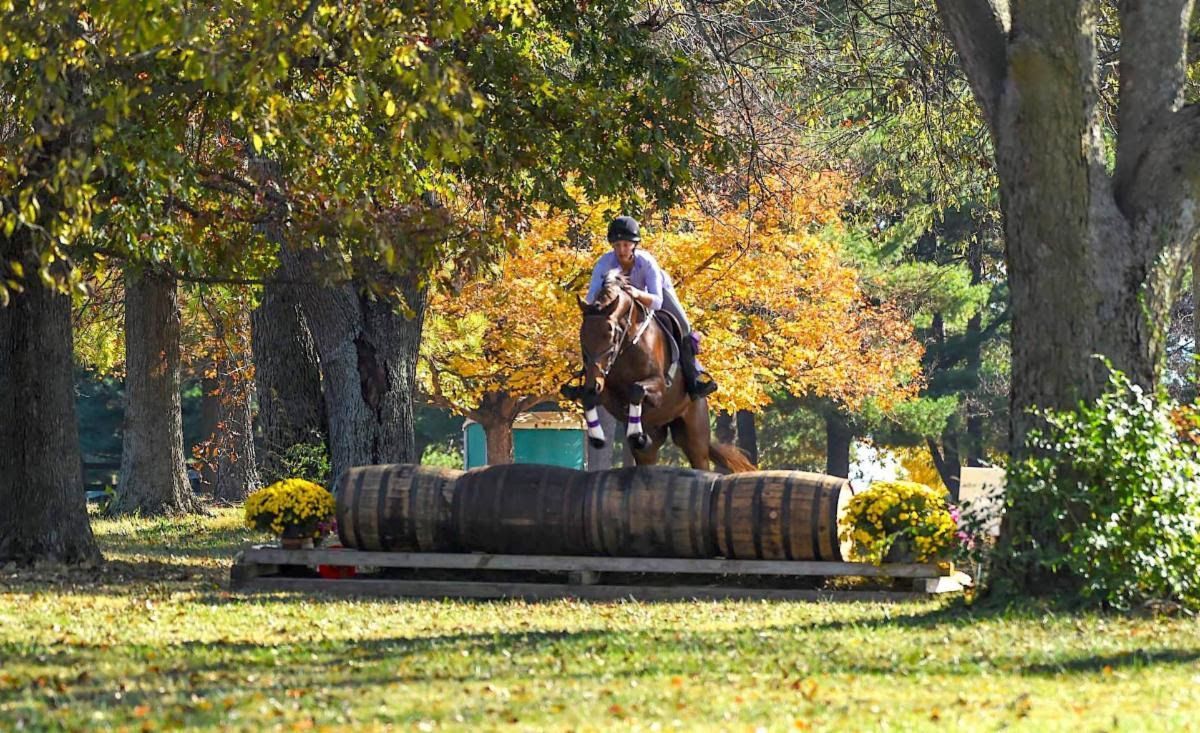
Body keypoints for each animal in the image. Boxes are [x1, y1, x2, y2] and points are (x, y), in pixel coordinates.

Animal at [571, 271, 755, 473]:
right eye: (582, 336)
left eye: (611, 335)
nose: (593, 383)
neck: (627, 346)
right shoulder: (607, 389)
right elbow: (591, 397)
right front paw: (597, 436)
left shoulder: (659, 387)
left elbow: (637, 389)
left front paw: (635, 434)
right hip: (656, 438)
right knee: (647, 454)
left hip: (694, 434)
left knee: (699, 459)